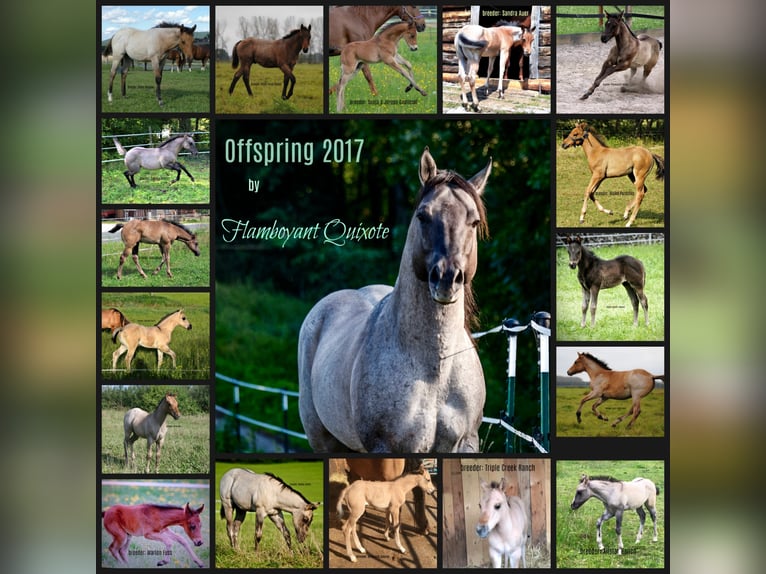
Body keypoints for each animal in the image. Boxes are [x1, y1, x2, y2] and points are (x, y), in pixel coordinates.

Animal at [298, 147, 492, 453]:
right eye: (423, 216)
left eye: (473, 221)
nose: (447, 278)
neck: (435, 370)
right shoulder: (386, 447)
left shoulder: (466, 443)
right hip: (323, 440)